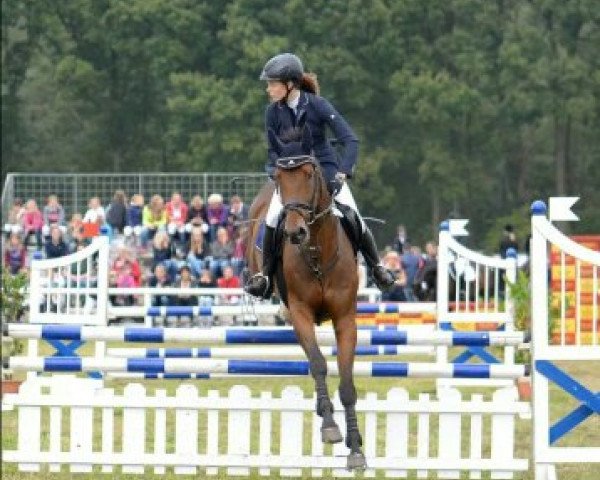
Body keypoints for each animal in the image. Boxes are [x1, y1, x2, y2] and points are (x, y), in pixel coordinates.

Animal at [244, 125, 366, 470]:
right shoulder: (300, 313)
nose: (295, 232)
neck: (317, 251)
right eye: (280, 178)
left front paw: (355, 448)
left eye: (310, 174)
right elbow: (318, 364)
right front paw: (330, 426)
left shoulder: (345, 319)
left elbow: (347, 383)